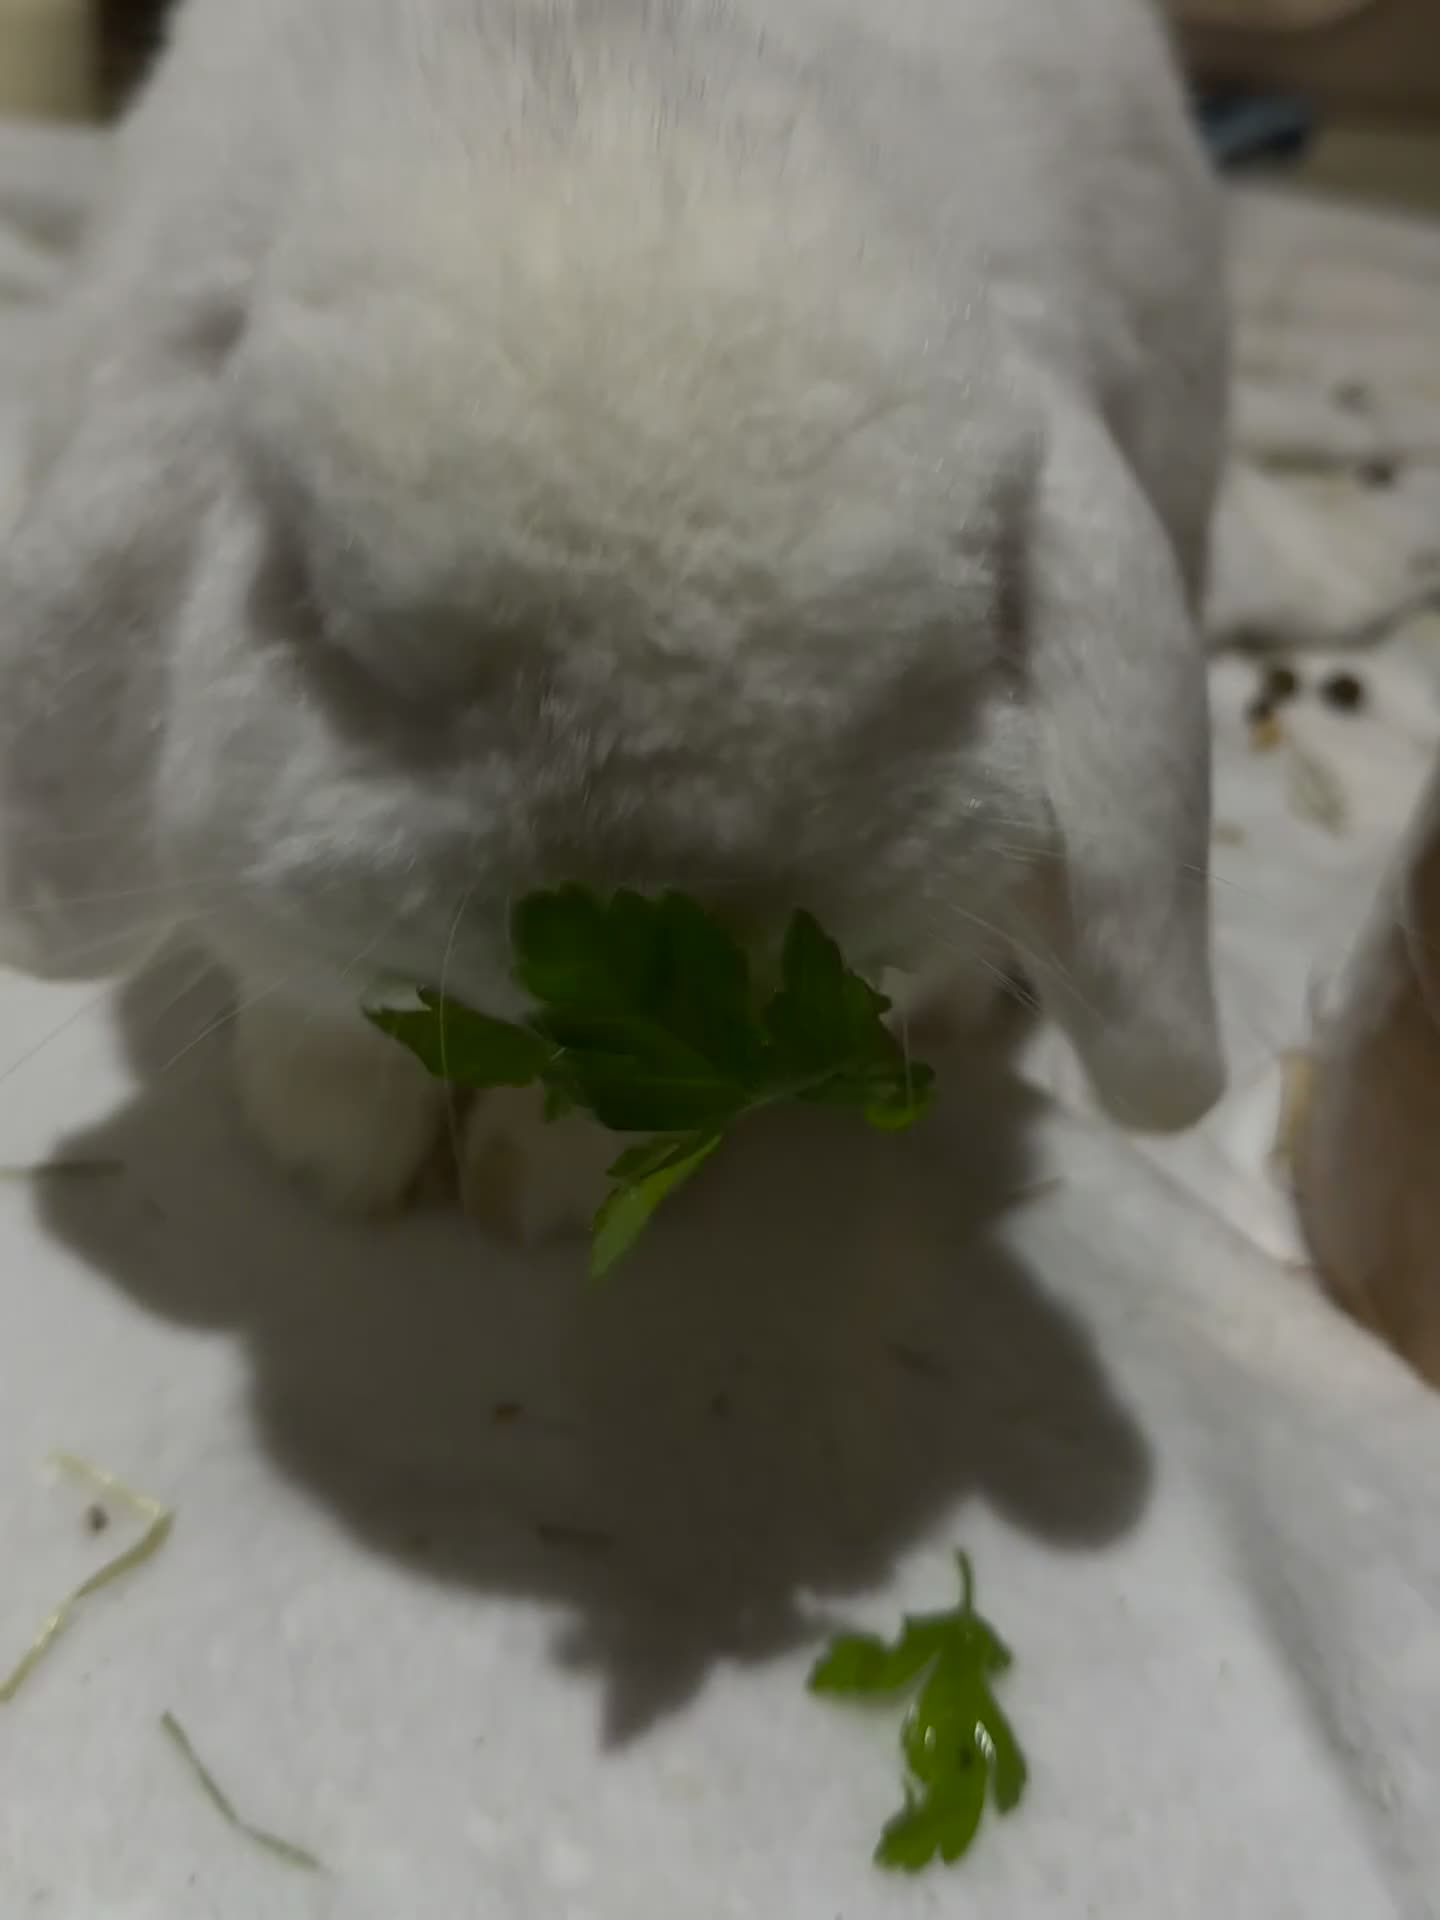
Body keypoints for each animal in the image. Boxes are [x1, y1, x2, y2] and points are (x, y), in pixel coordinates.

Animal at [0, 0, 1227, 1239]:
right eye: (327, 616)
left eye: (951, 645)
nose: (689, 922)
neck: (628, 117)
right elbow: (313, 1001)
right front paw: (335, 1155)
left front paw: (524, 1193)